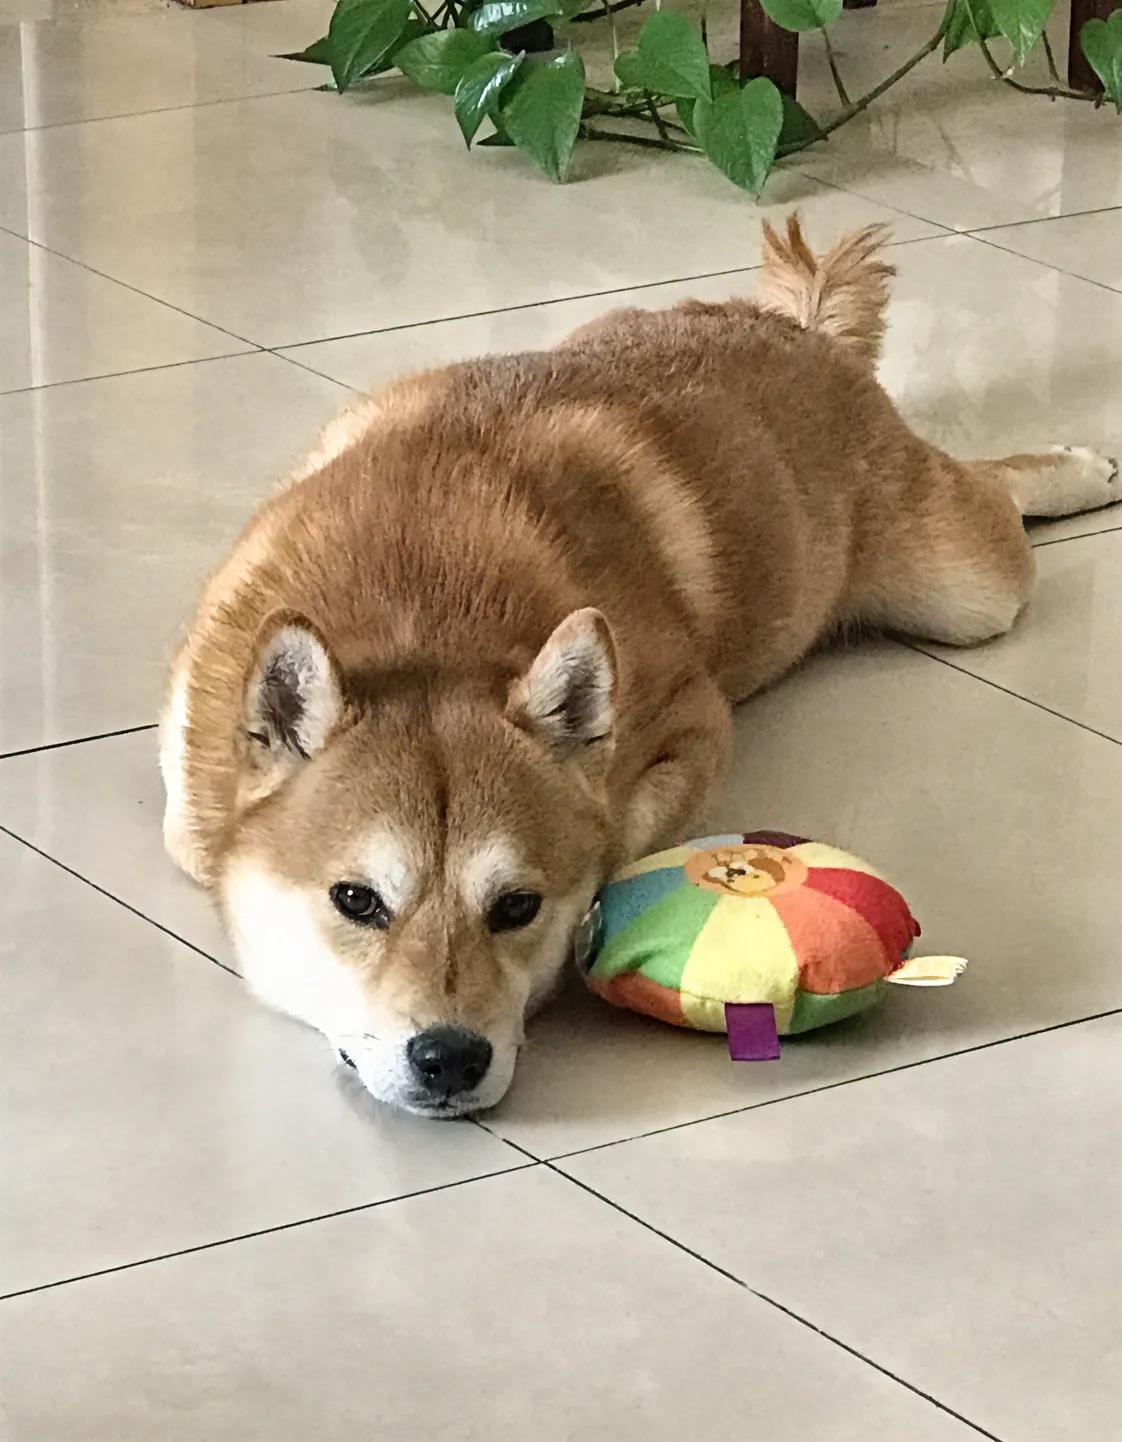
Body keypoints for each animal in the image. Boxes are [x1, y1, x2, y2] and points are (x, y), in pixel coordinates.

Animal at [161, 216, 1113, 1113]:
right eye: (357, 901)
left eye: (516, 906)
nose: (451, 1058)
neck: (417, 606)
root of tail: (802, 334)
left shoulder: (696, 723)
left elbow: (623, 834)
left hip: (964, 589)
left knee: (990, 489)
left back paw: (1079, 469)